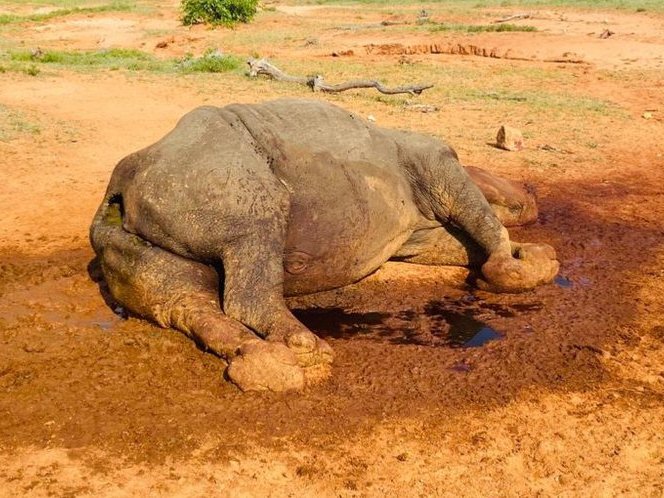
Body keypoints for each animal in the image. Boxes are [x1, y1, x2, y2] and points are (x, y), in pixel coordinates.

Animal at [90, 99, 558, 391]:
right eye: (518, 200)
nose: (529, 200)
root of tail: (123, 184)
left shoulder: (415, 238)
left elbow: (461, 246)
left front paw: (536, 259)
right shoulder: (437, 163)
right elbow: (481, 216)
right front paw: (524, 269)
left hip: (127, 225)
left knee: (181, 294)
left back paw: (270, 365)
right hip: (208, 174)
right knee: (259, 222)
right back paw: (307, 350)